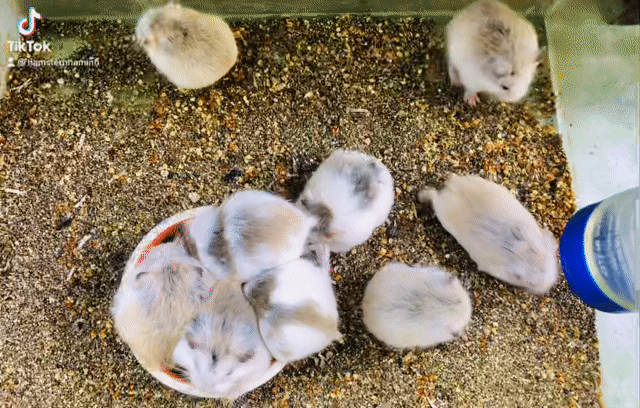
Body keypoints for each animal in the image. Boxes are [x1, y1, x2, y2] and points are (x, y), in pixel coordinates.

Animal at [418, 174, 559, 295]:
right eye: (519, 277)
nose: (549, 285)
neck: (515, 250)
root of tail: (448, 191)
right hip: (441, 208)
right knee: (433, 195)